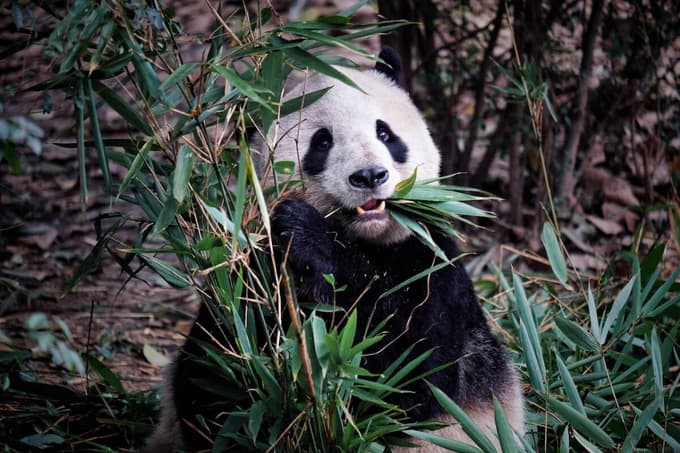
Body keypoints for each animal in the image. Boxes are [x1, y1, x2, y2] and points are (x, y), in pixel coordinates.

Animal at [146, 48, 524, 452]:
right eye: (322, 142)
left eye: (385, 133)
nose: (369, 176)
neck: (365, 239)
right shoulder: (250, 276)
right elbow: (217, 375)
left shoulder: (432, 266)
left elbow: (407, 377)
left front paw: (309, 234)